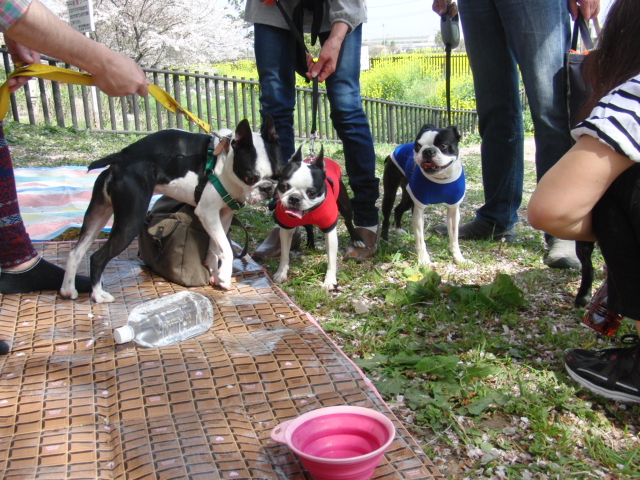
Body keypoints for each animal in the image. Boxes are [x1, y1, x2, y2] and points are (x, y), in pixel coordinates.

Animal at [61, 115, 282, 304]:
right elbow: (226, 248)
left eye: (278, 175)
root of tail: (121, 158)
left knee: (76, 252)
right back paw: (98, 295)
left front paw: (214, 273)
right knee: (97, 257)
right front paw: (225, 279)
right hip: (130, 221)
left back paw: (68, 290)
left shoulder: (223, 215)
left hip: (98, 212)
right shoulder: (207, 212)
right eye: (250, 177)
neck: (224, 163)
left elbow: (215, 247)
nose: (268, 188)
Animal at [272, 146, 364, 288]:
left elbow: (331, 259)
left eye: (311, 193)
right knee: (309, 227)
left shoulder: (330, 230)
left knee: (348, 221)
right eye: (284, 186)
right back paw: (310, 245)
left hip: (344, 205)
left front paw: (330, 280)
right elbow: (284, 254)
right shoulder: (286, 229)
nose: (294, 198)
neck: (309, 211)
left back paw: (356, 238)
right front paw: (281, 273)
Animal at [380, 124, 464, 264]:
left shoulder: (453, 209)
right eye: (418, 147)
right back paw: (384, 238)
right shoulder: (418, 209)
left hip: (409, 198)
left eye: (443, 146)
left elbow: (454, 237)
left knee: (398, 209)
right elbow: (420, 239)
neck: (440, 178)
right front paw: (424, 260)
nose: (428, 151)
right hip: (390, 194)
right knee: (387, 216)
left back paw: (398, 230)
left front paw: (458, 257)